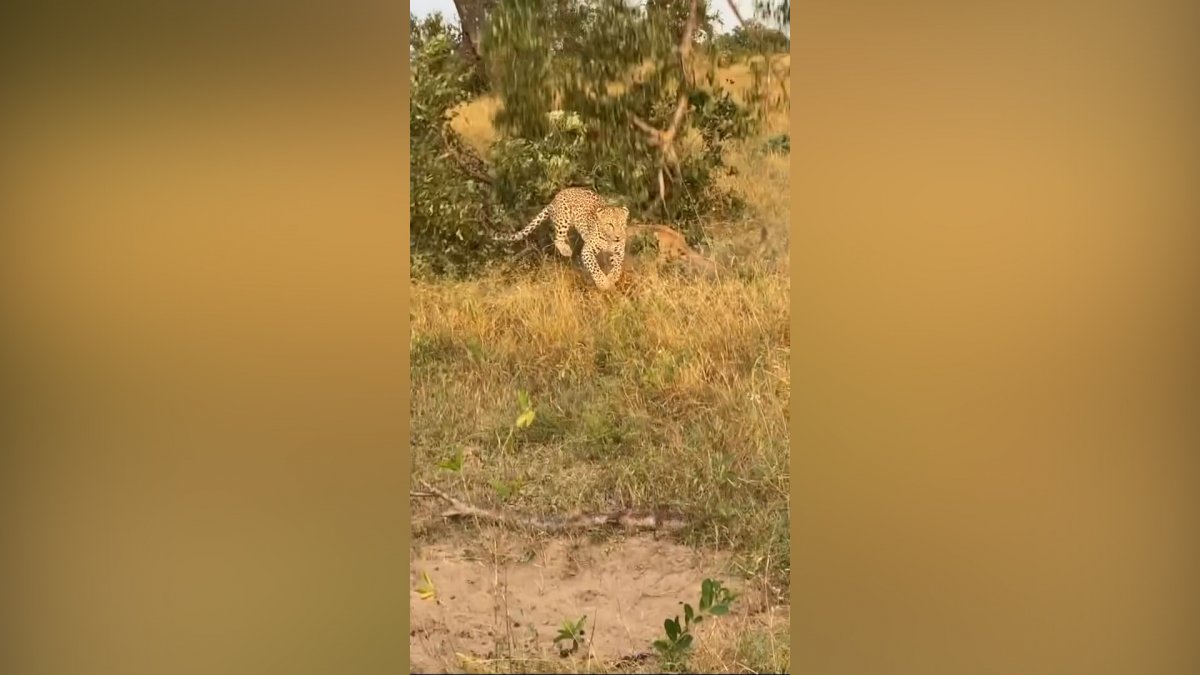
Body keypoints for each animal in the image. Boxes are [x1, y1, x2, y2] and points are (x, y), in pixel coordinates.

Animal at [492, 186, 633, 289]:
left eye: (622, 224)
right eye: (610, 225)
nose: (618, 237)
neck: (609, 240)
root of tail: (557, 196)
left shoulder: (618, 252)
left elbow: (617, 267)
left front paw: (612, 278)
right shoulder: (587, 251)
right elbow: (595, 267)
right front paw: (603, 282)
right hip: (563, 219)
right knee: (557, 238)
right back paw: (566, 250)